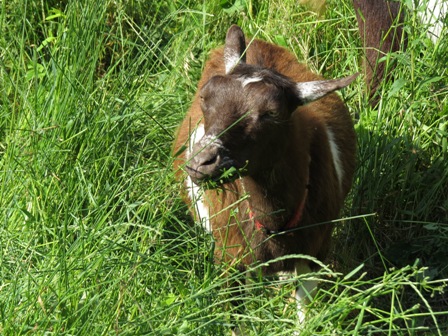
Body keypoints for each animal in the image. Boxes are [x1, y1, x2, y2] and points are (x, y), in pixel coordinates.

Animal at [172, 25, 356, 328]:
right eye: (205, 97)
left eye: (272, 113)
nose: (201, 162)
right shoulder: (229, 256)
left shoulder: (314, 252)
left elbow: (305, 313)